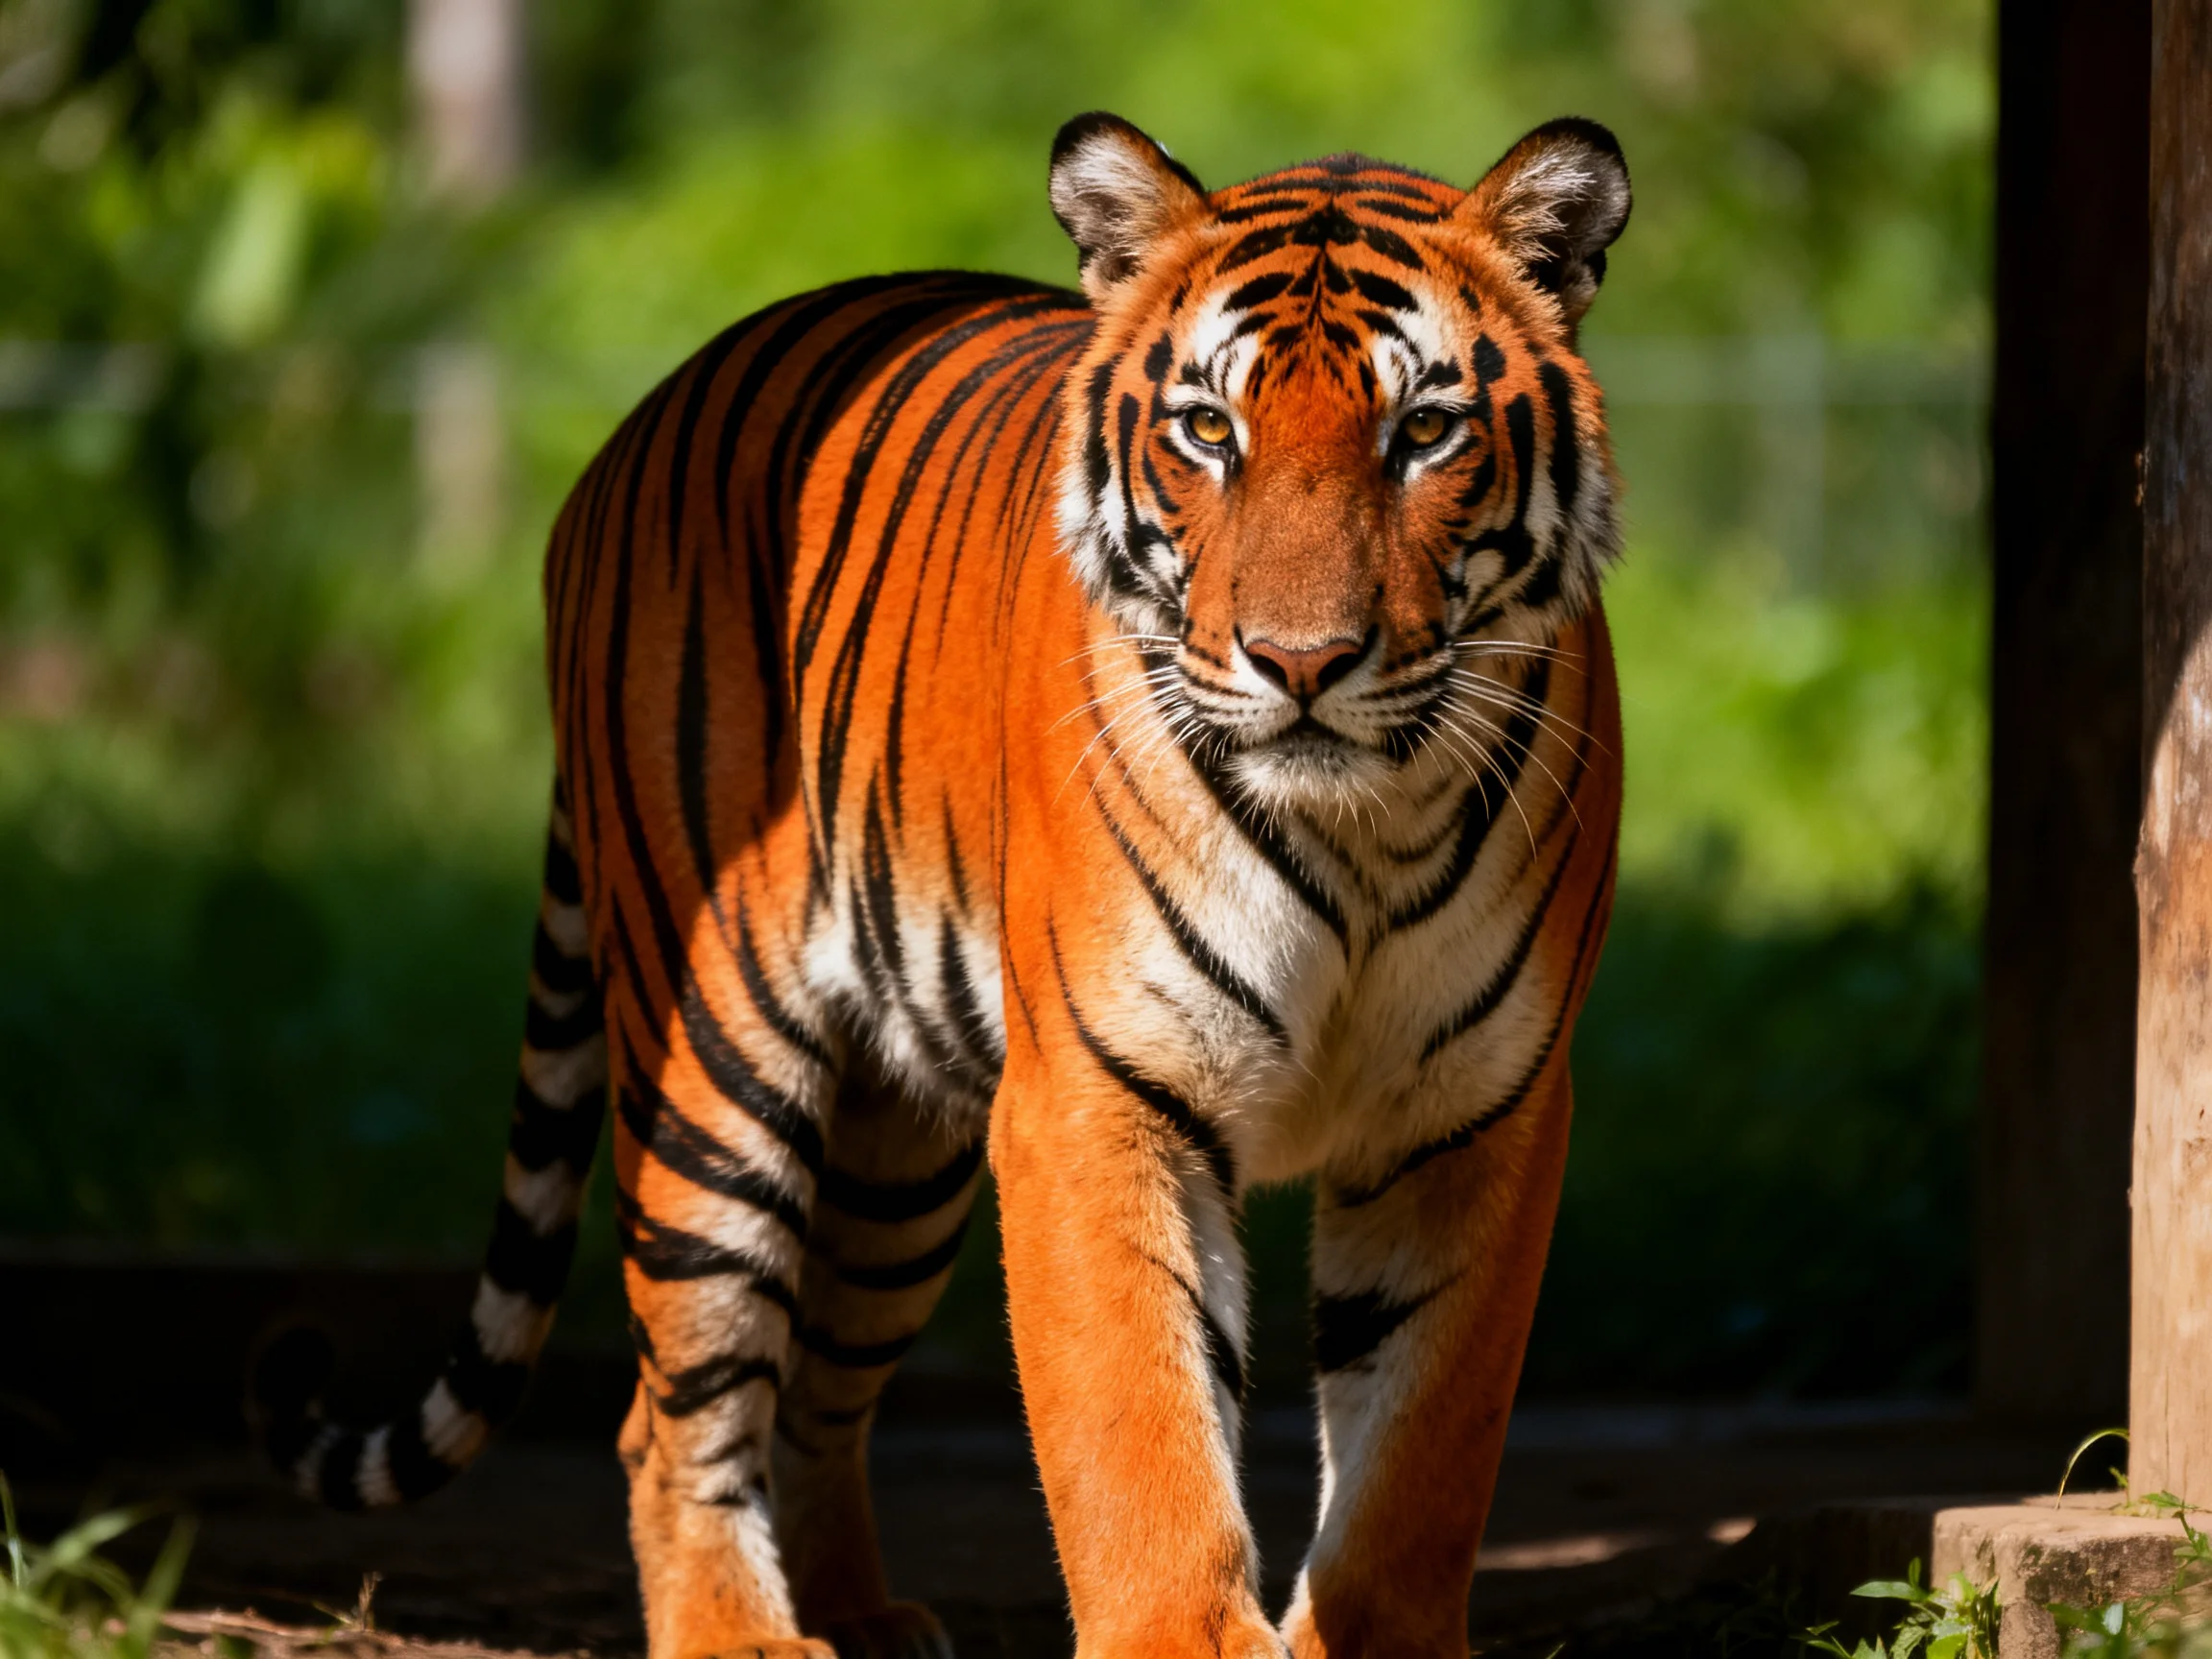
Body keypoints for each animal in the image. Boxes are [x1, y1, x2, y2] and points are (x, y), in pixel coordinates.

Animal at [258, 111, 1630, 1659]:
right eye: (1209, 429)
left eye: (1425, 432)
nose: (1300, 662)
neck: (1358, 828)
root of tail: (638, 422)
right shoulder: (1100, 1096)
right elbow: (1140, 1434)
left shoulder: (1476, 1116)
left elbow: (1420, 1456)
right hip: (709, 1068)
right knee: (675, 1412)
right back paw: (741, 1635)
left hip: (897, 1158)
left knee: (818, 1394)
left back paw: (867, 1618)